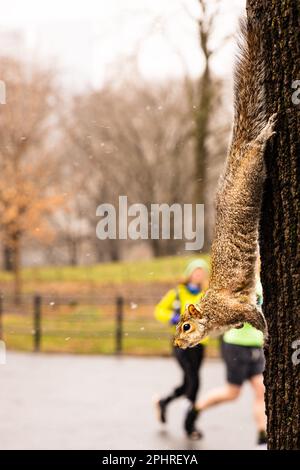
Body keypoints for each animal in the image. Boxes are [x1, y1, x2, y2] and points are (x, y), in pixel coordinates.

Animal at [173, 17, 276, 348]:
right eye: (177, 326)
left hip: (250, 175)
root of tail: (232, 164)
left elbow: (256, 316)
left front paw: (267, 337)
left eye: (186, 326)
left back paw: (265, 133)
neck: (212, 314)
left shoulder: (234, 307)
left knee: (255, 150)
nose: (177, 345)